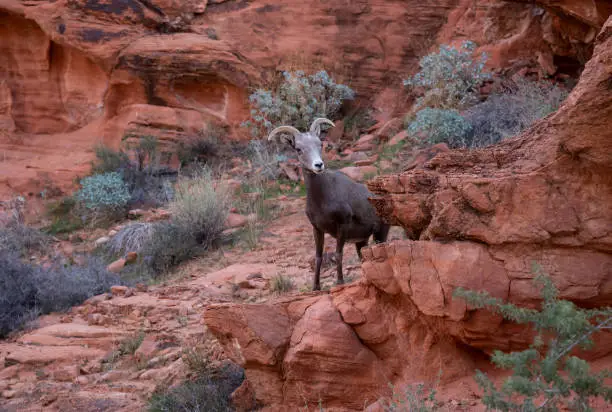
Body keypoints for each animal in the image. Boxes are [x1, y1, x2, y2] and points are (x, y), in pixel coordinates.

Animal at [268, 116, 392, 290]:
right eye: (298, 149)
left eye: (320, 144)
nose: (318, 165)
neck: (322, 199)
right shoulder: (317, 229)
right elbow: (318, 257)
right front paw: (316, 287)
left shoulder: (342, 226)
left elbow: (338, 254)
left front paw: (339, 282)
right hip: (362, 241)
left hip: (380, 233)